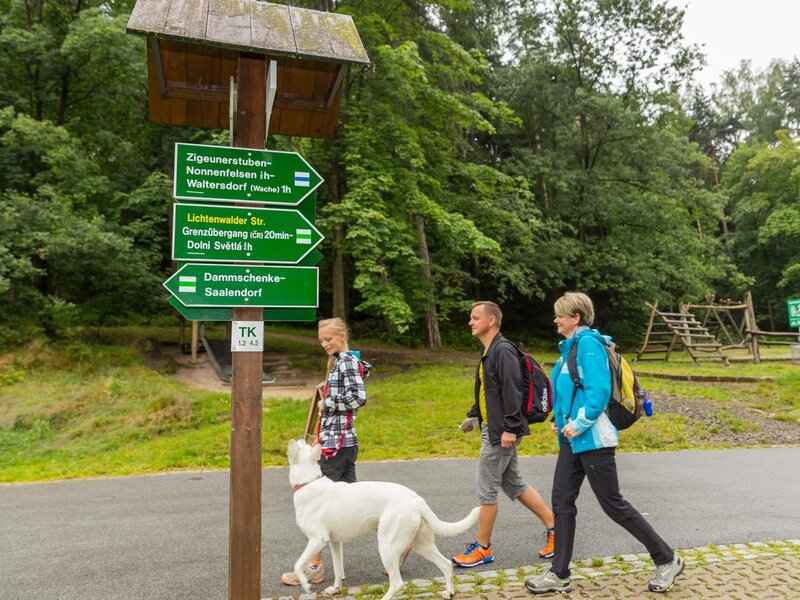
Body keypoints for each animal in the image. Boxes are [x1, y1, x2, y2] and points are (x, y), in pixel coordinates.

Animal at [286, 436, 478, 600]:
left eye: (302, 445)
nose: (304, 438)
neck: (308, 482)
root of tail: (417, 500)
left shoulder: (317, 540)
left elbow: (298, 563)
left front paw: (305, 584)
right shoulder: (335, 542)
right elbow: (338, 569)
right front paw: (335, 589)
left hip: (387, 546)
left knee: (397, 582)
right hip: (421, 544)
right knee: (445, 564)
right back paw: (449, 592)